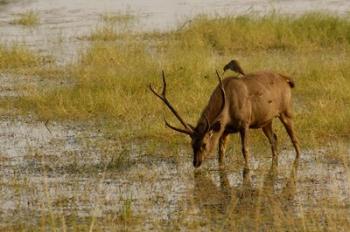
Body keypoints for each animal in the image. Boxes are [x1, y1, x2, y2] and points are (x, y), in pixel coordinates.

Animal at [149, 63, 300, 169]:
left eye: (204, 144)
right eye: (191, 144)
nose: (196, 163)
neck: (227, 107)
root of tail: (286, 79)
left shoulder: (245, 123)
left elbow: (245, 149)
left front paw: (247, 169)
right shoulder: (225, 129)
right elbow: (220, 153)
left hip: (286, 110)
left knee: (294, 139)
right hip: (266, 121)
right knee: (274, 139)